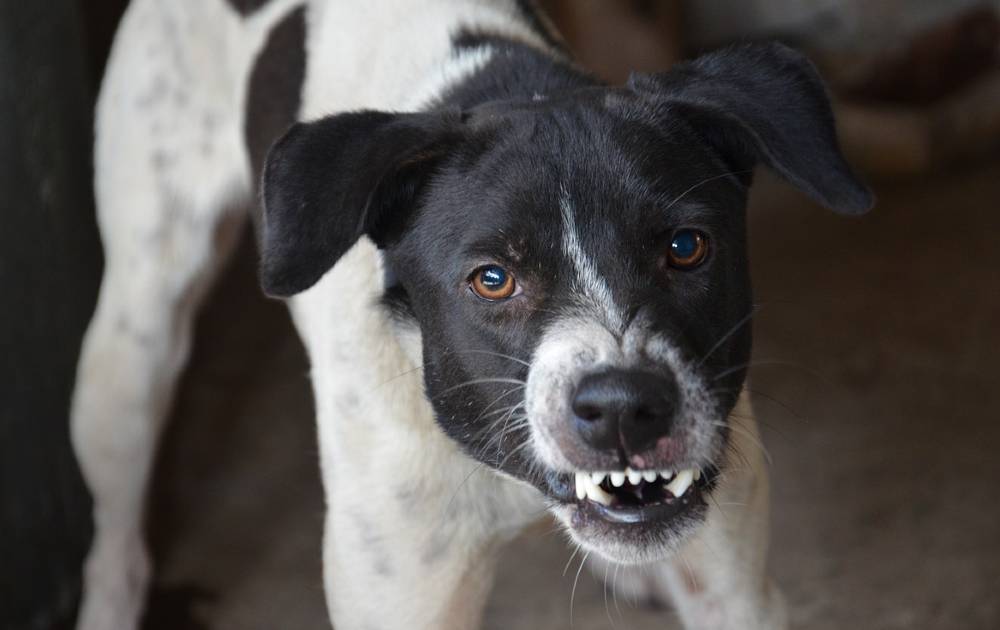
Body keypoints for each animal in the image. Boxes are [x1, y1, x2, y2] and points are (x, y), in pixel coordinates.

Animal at [70, 0, 872, 628]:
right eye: (491, 280)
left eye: (686, 247)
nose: (623, 408)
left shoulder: (735, 590)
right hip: (133, 341)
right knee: (116, 533)